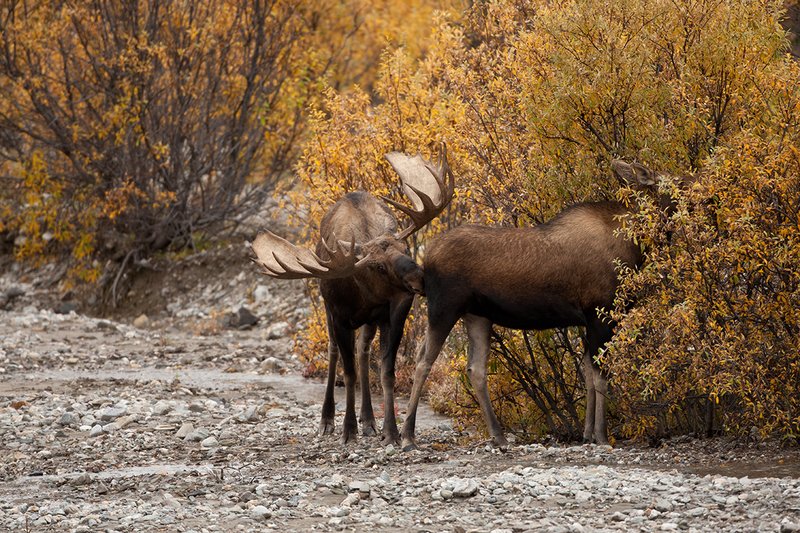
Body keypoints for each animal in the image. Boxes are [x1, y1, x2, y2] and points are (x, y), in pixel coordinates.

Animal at [251, 143, 454, 445]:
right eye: (378, 266)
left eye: (405, 249)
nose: (419, 278)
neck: (364, 294)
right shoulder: (339, 316)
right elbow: (347, 374)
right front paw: (347, 429)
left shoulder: (393, 311)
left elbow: (387, 371)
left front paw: (391, 431)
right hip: (327, 310)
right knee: (335, 352)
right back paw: (327, 420)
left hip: (370, 321)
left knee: (363, 352)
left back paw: (368, 420)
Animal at [399, 159, 670, 450]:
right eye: (673, 181)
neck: (635, 245)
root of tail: (425, 262)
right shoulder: (600, 313)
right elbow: (600, 377)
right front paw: (601, 435)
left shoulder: (589, 320)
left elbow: (587, 374)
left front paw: (587, 434)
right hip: (444, 307)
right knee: (423, 361)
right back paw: (407, 436)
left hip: (477, 315)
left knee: (475, 369)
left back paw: (498, 435)